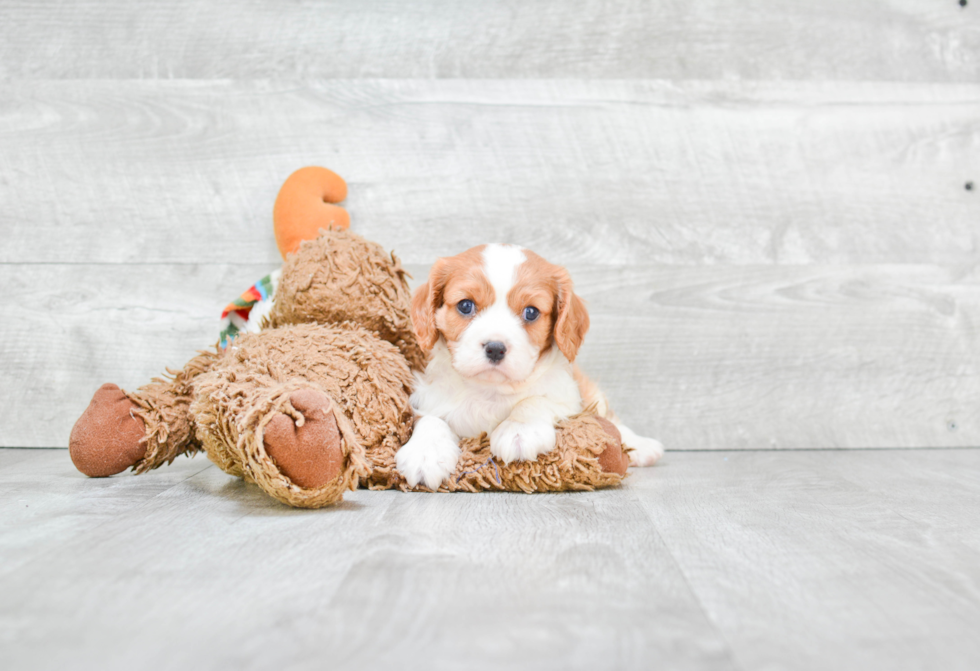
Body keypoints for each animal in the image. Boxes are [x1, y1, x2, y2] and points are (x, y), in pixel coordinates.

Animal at [394, 244, 664, 490]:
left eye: (531, 312)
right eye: (465, 305)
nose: (495, 348)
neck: (491, 390)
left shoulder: (569, 398)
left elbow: (535, 400)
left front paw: (519, 430)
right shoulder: (429, 398)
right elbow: (430, 419)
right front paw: (425, 453)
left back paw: (642, 446)